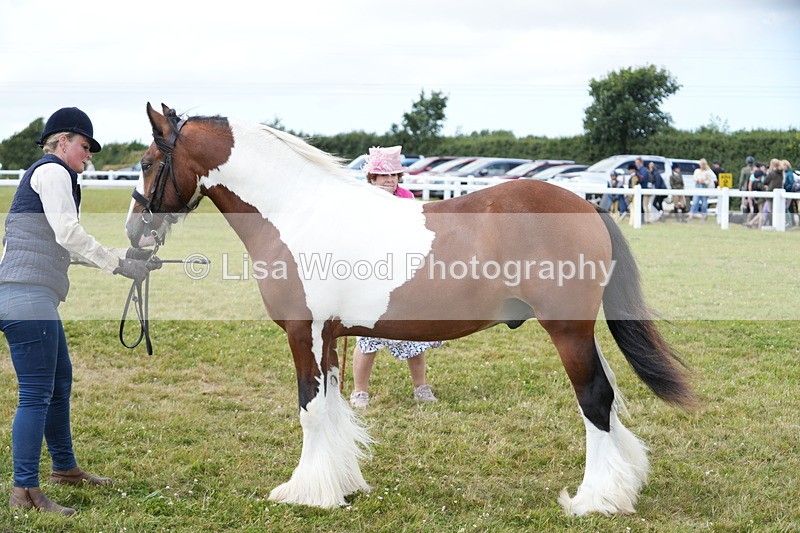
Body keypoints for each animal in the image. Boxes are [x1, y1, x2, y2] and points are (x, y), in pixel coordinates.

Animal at [125, 103, 696, 516]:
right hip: (580, 331)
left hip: (567, 330)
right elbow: (333, 407)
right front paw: (341, 485)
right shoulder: (330, 337)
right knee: (609, 397)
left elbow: (310, 408)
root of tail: (587, 205)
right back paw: (624, 485)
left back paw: (594, 500)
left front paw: (306, 492)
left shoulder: (303, 332)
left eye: (149, 164)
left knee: (594, 399)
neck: (297, 211)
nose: (133, 232)